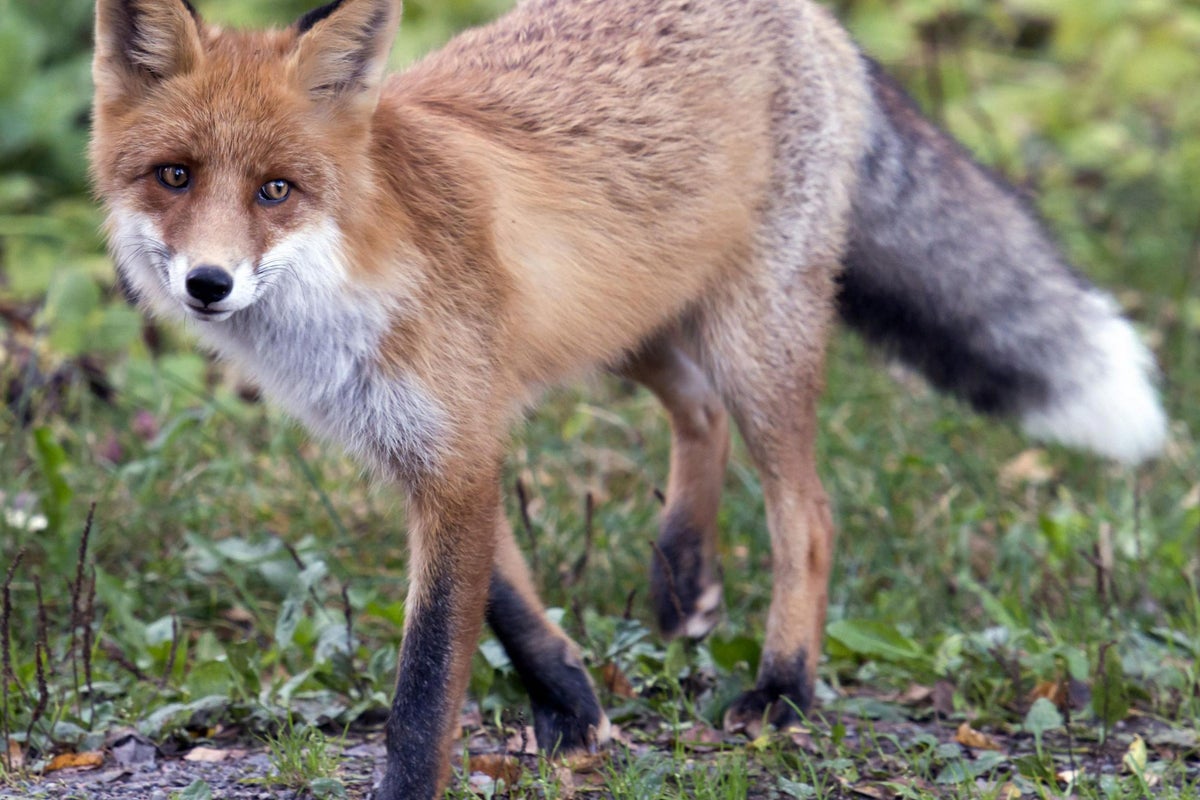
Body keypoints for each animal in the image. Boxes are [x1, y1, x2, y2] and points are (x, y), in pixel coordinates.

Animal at [91, 0, 1167, 797]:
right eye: (174, 176)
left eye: (276, 190)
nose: (209, 284)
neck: (347, 281)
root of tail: (807, 15)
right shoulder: (435, 447)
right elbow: (508, 599)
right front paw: (572, 702)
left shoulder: (456, 446)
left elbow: (427, 680)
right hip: (632, 324)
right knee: (698, 412)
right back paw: (684, 571)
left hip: (752, 337)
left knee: (808, 513)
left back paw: (783, 684)